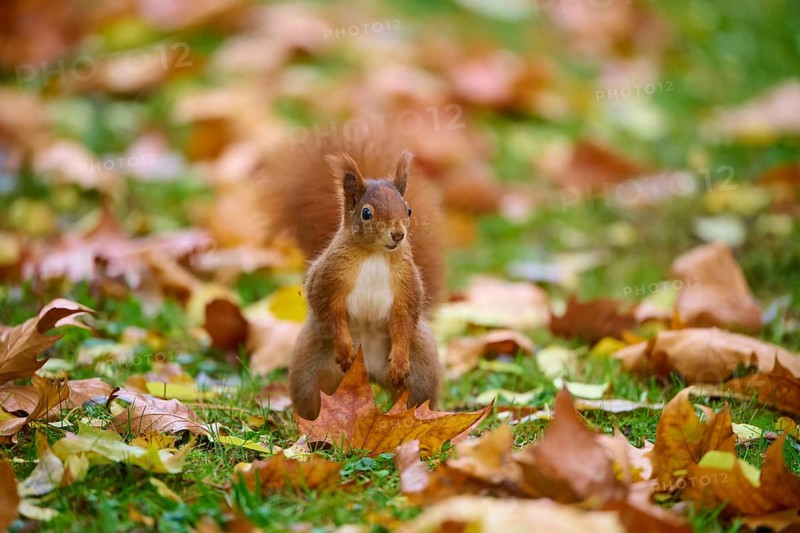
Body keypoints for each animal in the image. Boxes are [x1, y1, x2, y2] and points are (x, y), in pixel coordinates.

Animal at [262, 129, 445, 420]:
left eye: (408, 210)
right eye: (366, 213)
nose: (398, 235)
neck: (375, 255)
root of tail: (368, 371)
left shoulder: (407, 288)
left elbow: (405, 320)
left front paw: (399, 362)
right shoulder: (328, 281)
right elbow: (331, 313)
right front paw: (346, 350)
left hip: (421, 369)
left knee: (417, 398)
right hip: (309, 367)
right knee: (310, 399)